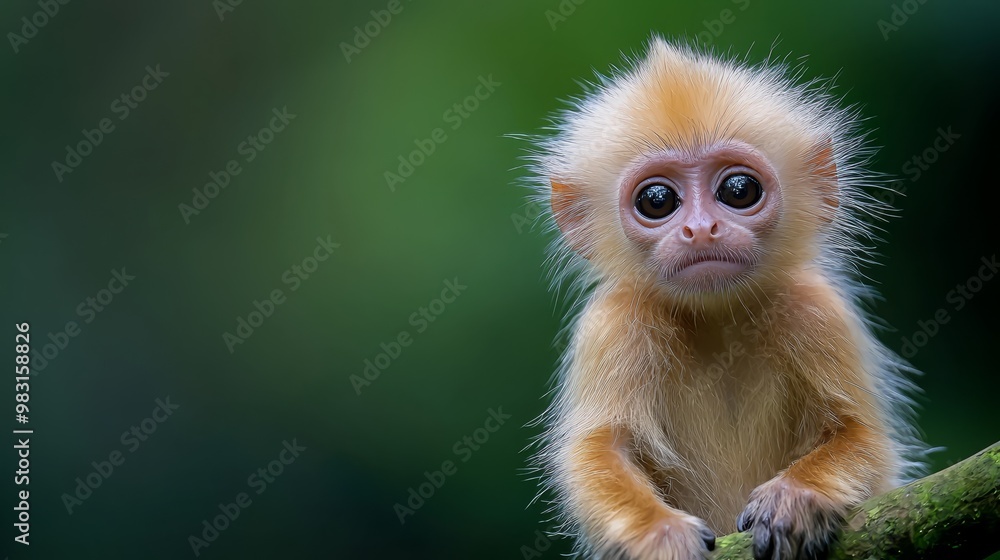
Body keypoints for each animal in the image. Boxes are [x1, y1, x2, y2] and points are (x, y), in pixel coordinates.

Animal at [528, 39, 925, 560]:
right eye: (657, 200)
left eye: (739, 190)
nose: (701, 229)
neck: (719, 323)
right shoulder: (614, 323)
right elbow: (598, 451)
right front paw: (661, 534)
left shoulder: (816, 310)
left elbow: (864, 438)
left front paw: (795, 497)